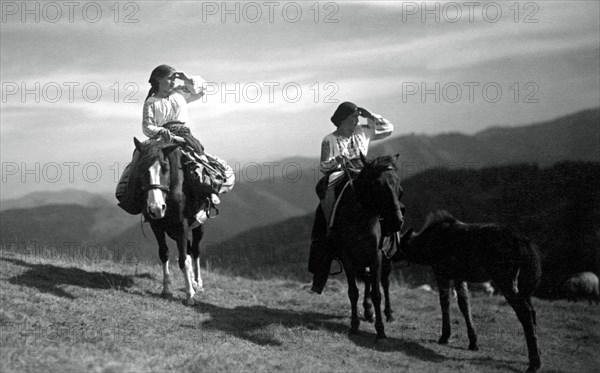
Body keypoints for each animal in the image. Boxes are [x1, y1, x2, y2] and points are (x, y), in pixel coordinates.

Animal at [131, 138, 206, 304]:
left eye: (165, 168)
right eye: (141, 169)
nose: (157, 208)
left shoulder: (182, 226)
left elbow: (183, 259)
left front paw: (189, 295)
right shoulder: (157, 225)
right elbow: (164, 253)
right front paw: (166, 290)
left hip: (198, 225)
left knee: (195, 250)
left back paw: (198, 283)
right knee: (189, 250)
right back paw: (192, 281)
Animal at [330, 153, 406, 338]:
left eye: (398, 185)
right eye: (378, 185)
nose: (397, 221)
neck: (359, 218)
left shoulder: (376, 255)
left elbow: (377, 293)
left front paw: (381, 331)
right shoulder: (347, 257)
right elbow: (353, 291)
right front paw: (354, 325)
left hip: (385, 259)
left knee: (384, 282)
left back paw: (388, 314)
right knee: (368, 279)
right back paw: (368, 311)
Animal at [398, 211, 544, 370]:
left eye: (398, 244)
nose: (390, 255)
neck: (425, 250)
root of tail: (526, 246)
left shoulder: (441, 271)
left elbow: (445, 302)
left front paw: (444, 336)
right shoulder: (459, 276)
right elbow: (464, 304)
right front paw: (473, 342)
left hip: (505, 278)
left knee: (525, 311)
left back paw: (534, 363)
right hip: (524, 285)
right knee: (533, 310)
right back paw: (535, 355)